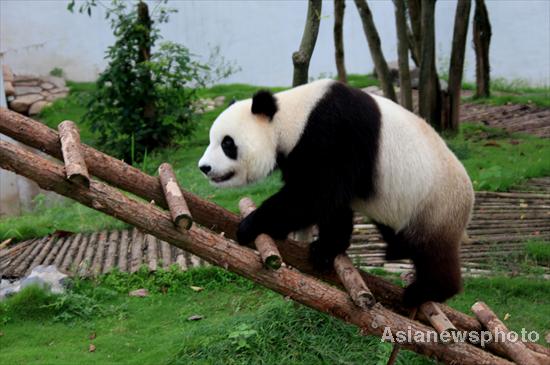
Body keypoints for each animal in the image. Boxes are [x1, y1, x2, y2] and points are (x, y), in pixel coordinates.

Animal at [201, 79, 476, 308]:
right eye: (211, 139)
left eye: (227, 143)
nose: (204, 168)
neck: (293, 117)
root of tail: (470, 197)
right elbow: (330, 203)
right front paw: (327, 248)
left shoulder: (334, 132)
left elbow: (315, 194)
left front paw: (249, 225)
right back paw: (397, 251)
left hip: (435, 205)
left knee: (433, 253)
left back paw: (426, 291)